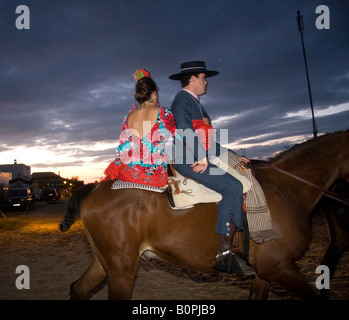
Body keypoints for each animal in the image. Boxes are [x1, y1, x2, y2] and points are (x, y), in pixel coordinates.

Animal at [60, 129, 348, 298]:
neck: (287, 189)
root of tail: (95, 187)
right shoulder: (279, 267)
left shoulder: (264, 273)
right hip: (121, 268)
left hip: (106, 262)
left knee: (78, 289)